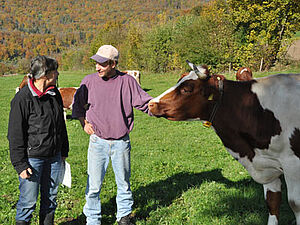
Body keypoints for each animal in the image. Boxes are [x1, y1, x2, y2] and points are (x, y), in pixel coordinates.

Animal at [149, 60, 300, 225]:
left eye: (187, 89)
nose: (151, 103)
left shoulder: (292, 164)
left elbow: (295, 204)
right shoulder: (266, 165)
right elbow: (272, 202)